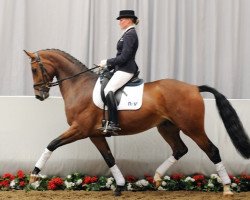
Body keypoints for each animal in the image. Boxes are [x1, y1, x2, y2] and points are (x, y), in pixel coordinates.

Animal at [23, 49, 250, 196]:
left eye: (34, 69)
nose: (39, 96)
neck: (80, 87)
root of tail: (194, 87)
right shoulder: (95, 134)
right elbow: (109, 158)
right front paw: (120, 186)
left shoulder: (80, 129)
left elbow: (52, 144)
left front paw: (34, 176)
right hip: (167, 127)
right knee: (180, 149)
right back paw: (157, 178)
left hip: (192, 127)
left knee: (212, 151)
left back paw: (227, 188)